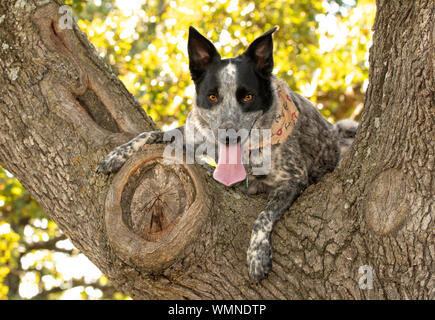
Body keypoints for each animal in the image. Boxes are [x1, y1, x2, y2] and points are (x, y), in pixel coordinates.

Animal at [97, 27, 360, 282]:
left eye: (248, 96)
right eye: (212, 96)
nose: (228, 135)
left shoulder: (293, 180)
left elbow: (263, 216)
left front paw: (256, 256)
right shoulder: (193, 135)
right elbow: (153, 133)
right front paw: (116, 156)